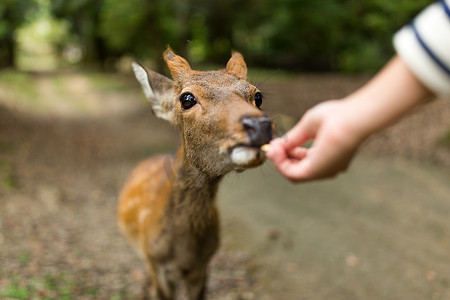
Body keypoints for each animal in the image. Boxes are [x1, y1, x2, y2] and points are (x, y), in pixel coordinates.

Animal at [118, 47, 272, 300]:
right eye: (187, 99)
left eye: (257, 96)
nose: (260, 126)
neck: (184, 253)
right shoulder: (156, 264)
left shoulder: (203, 266)